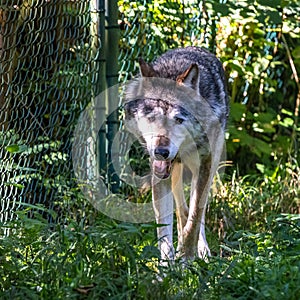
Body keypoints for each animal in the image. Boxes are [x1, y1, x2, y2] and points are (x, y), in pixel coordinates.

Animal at [123, 46, 229, 260]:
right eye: (151, 117)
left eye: (178, 119)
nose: (161, 152)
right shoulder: (159, 174)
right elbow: (164, 229)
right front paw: (167, 265)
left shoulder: (204, 167)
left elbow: (195, 218)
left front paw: (187, 257)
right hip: (175, 174)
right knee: (181, 208)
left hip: (209, 167)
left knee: (196, 212)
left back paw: (202, 250)